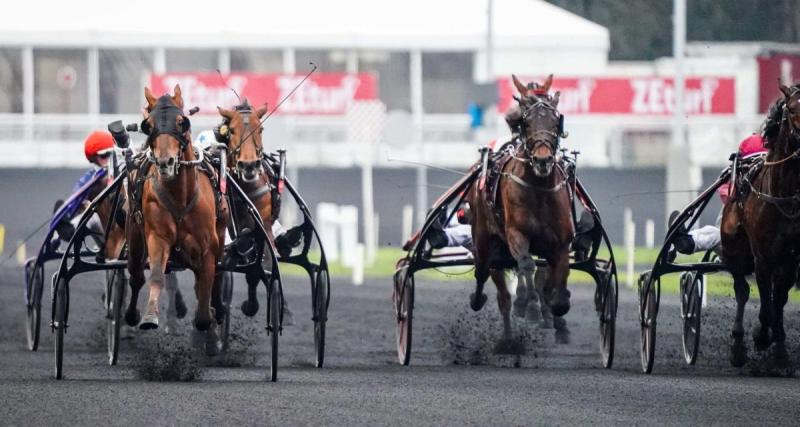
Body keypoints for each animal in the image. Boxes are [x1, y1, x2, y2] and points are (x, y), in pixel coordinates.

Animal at [123, 85, 228, 352]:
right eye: (148, 125)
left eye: (181, 122)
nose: (165, 162)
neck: (181, 196)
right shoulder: (157, 237)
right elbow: (157, 276)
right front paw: (150, 317)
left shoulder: (208, 247)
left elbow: (206, 286)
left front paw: (210, 327)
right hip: (134, 236)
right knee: (136, 275)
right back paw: (131, 315)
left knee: (213, 279)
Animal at [468, 76, 576, 352]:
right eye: (526, 122)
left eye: (555, 120)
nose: (543, 160)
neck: (539, 187)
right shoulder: (516, 234)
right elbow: (526, 265)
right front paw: (530, 307)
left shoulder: (561, 243)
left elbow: (557, 282)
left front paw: (557, 312)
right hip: (485, 237)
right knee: (486, 274)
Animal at [720, 83, 800, 368]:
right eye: (792, 109)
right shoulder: (763, 256)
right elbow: (765, 304)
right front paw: (761, 336)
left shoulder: (791, 258)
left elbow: (779, 300)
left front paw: (779, 349)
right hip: (733, 249)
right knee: (742, 290)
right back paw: (738, 345)